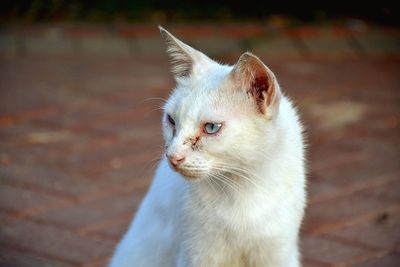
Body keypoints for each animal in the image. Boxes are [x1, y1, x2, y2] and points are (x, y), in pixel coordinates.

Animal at [109, 26, 306, 267]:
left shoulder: (278, 255)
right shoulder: (197, 256)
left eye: (211, 128)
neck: (243, 188)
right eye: (171, 121)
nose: (172, 157)